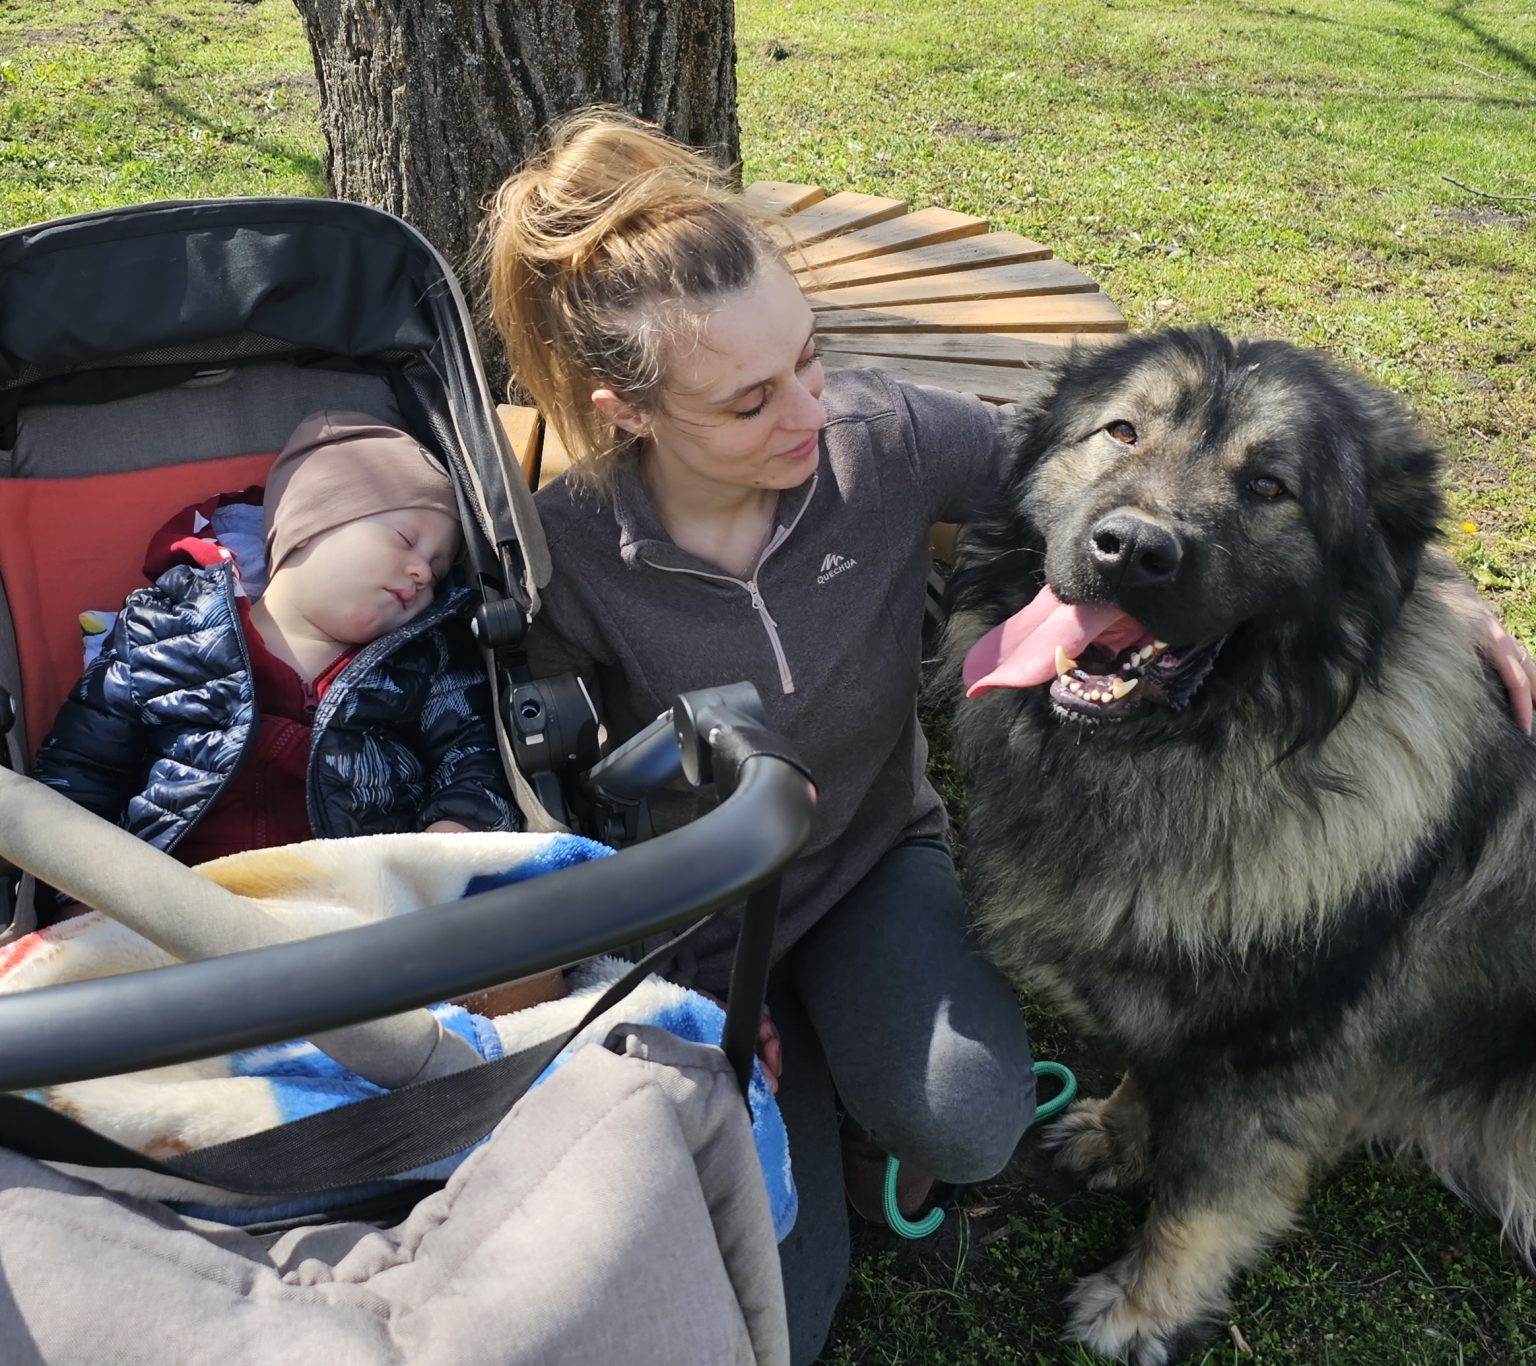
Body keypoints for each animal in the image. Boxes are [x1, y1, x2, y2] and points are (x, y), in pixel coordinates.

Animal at [940, 325, 1536, 1358]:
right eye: (1122, 432)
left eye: (1268, 486)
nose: (1132, 550)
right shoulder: (1173, 1002)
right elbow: (1147, 1082)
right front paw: (1117, 1135)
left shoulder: (1264, 1065)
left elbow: (1200, 1203)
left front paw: (1142, 1308)